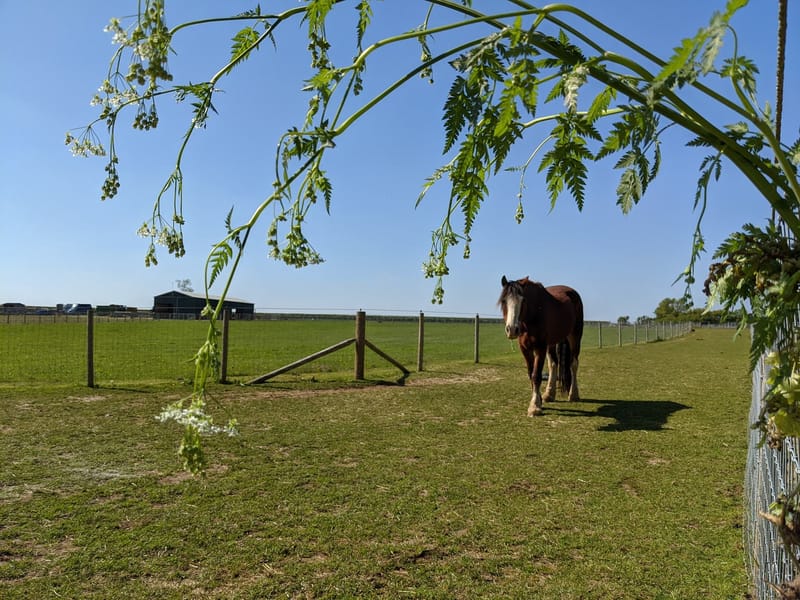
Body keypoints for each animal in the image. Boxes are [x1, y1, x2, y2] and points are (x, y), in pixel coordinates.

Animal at [498, 276, 584, 416]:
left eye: (523, 300)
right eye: (504, 300)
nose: (512, 330)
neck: (532, 316)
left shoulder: (540, 347)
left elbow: (536, 375)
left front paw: (534, 406)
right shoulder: (525, 349)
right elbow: (531, 373)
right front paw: (538, 400)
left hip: (575, 336)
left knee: (573, 364)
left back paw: (573, 394)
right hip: (552, 343)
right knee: (553, 364)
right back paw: (549, 394)